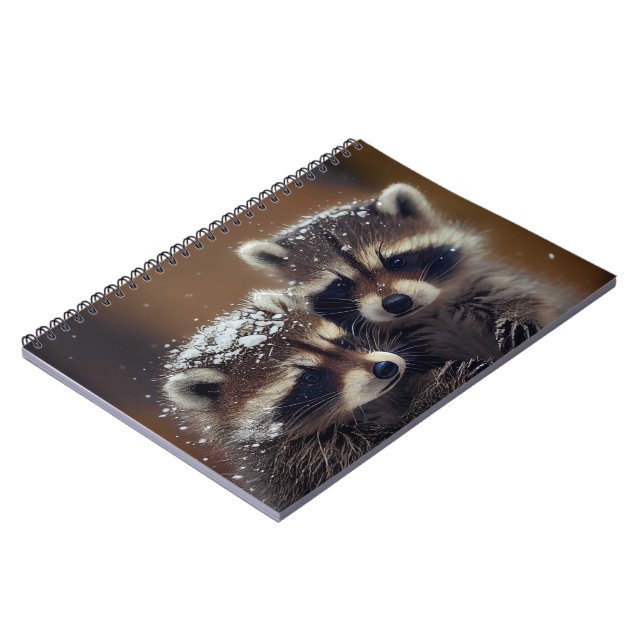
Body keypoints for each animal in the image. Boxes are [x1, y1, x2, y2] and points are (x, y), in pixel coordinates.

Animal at [237, 183, 572, 358]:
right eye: (342, 285)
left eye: (396, 262)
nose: (397, 303)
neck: (427, 314)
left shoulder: (487, 282)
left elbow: (525, 296)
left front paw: (519, 313)